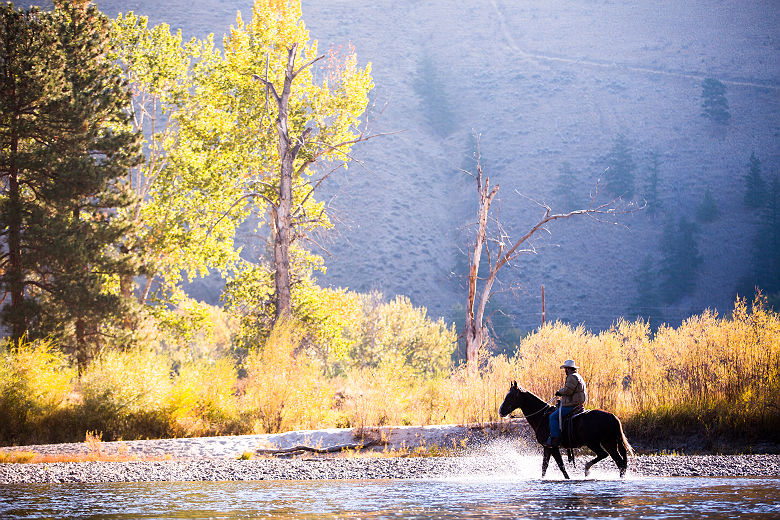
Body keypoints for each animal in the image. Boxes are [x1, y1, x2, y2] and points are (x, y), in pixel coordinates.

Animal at [500, 380, 632, 478]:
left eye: (511, 396)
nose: (501, 411)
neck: (542, 416)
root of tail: (612, 416)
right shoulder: (547, 448)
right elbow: (544, 467)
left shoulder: (553, 447)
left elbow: (561, 466)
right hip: (609, 443)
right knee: (619, 463)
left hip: (593, 443)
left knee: (604, 455)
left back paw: (587, 468)